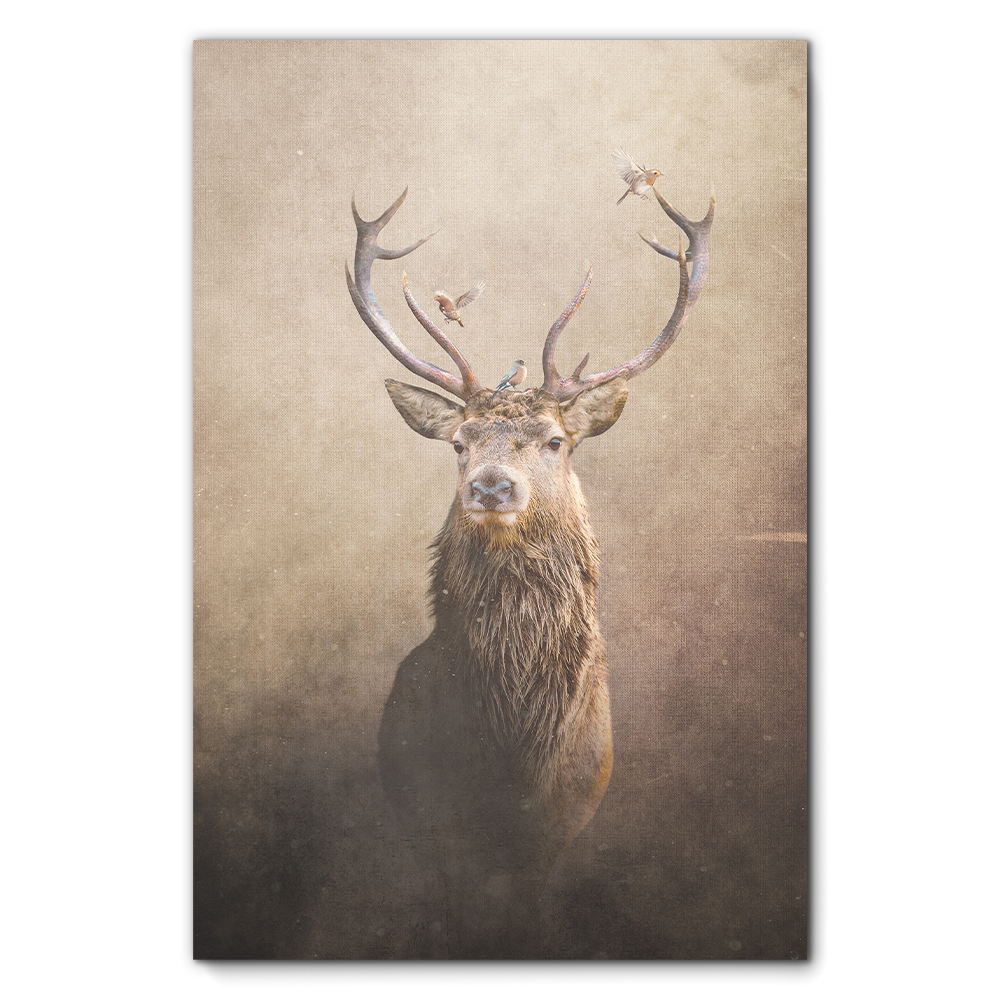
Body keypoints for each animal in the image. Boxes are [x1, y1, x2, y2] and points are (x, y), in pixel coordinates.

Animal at [345, 185, 714, 959]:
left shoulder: (557, 827)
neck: (512, 753)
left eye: (554, 441)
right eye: (458, 442)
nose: (491, 486)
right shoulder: (437, 825)